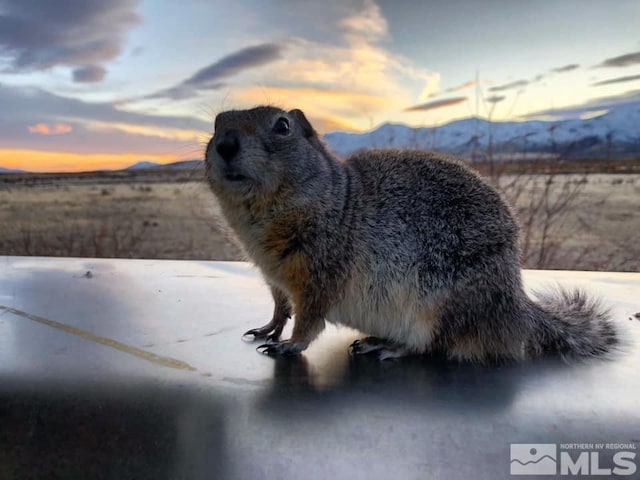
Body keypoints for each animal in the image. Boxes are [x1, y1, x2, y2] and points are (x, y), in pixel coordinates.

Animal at [205, 105, 620, 360]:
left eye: (282, 126)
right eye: (215, 123)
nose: (225, 143)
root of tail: (513, 305)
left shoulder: (323, 272)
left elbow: (310, 317)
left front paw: (290, 345)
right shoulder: (274, 275)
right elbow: (281, 305)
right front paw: (269, 328)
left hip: (439, 307)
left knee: (435, 344)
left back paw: (388, 346)